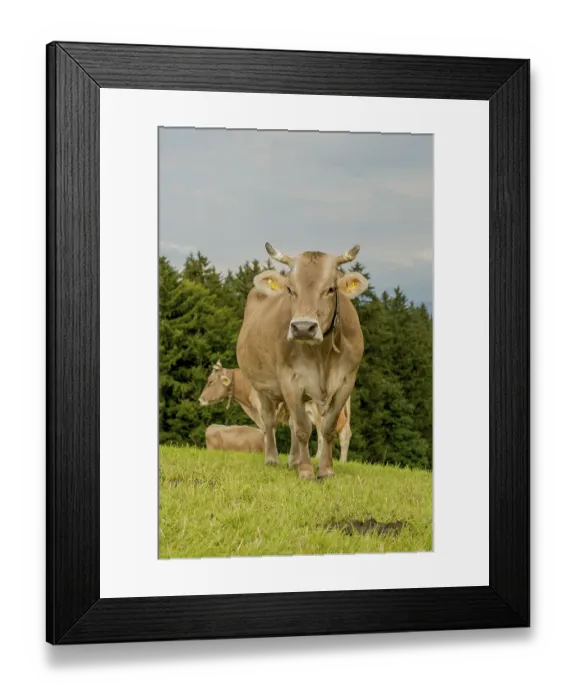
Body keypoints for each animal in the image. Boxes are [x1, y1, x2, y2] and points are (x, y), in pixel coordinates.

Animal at [198, 361, 353, 463]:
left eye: (211, 381)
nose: (200, 399)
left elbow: (268, 431)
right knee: (344, 434)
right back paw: (342, 461)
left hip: (319, 411)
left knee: (322, 433)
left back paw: (318, 458)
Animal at [236, 243, 368, 480]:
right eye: (290, 289)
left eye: (330, 289)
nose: (303, 328)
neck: (321, 354)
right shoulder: (289, 380)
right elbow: (302, 428)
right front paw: (306, 470)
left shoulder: (346, 382)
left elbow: (327, 428)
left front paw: (326, 469)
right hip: (261, 386)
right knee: (269, 421)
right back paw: (273, 458)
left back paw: (294, 460)